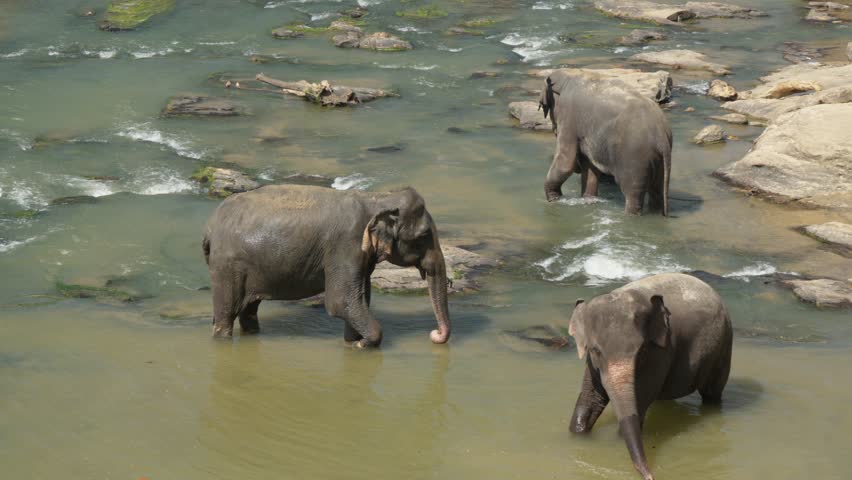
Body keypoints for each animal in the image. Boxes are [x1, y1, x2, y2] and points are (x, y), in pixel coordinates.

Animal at [202, 184, 450, 347]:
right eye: (424, 235)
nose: (434, 334)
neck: (377, 197)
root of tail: (209, 227)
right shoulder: (345, 246)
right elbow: (340, 302)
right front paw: (363, 344)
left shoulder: (359, 256)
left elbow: (360, 298)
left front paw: (353, 342)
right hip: (227, 266)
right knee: (226, 315)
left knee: (249, 310)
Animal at [539, 71, 672, 215]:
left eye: (543, 105)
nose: (554, 129)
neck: (567, 77)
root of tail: (661, 136)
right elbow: (590, 168)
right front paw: (588, 200)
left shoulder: (569, 119)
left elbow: (566, 163)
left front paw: (554, 199)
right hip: (658, 160)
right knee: (657, 191)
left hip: (635, 159)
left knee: (632, 193)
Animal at [567, 273, 732, 480]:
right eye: (596, 351)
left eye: (642, 350)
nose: (650, 476)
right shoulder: (591, 363)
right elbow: (591, 398)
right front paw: (578, 432)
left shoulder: (661, 352)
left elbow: (641, 399)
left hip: (724, 346)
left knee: (712, 393)